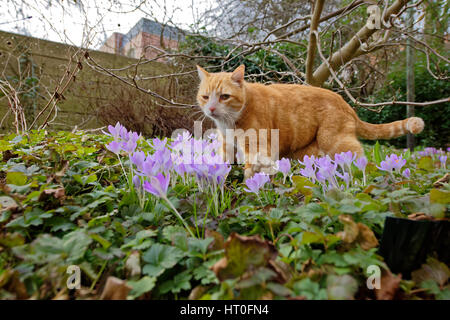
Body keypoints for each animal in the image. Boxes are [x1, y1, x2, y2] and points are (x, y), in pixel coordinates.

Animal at [195, 64, 424, 178]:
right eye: (205, 97)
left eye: (224, 96)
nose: (211, 109)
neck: (231, 121)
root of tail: (346, 104)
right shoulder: (227, 144)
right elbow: (224, 162)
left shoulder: (258, 146)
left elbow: (253, 168)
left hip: (334, 141)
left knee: (358, 157)